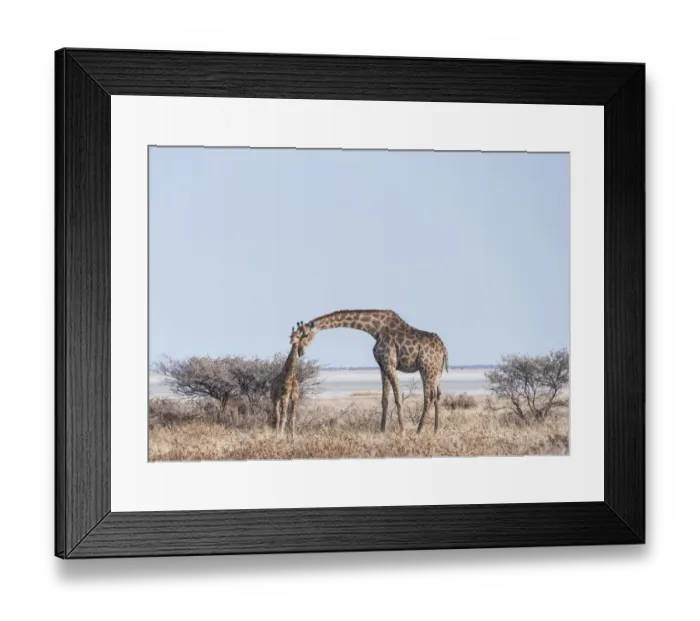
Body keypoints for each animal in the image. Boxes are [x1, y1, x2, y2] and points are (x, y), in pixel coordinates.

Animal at [298, 310, 448, 434]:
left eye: (305, 335)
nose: (299, 351)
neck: (376, 329)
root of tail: (443, 348)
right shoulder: (382, 366)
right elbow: (384, 399)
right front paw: (382, 430)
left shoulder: (390, 364)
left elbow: (398, 398)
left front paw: (402, 431)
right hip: (437, 372)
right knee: (438, 396)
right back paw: (436, 430)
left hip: (426, 369)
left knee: (429, 397)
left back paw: (419, 431)